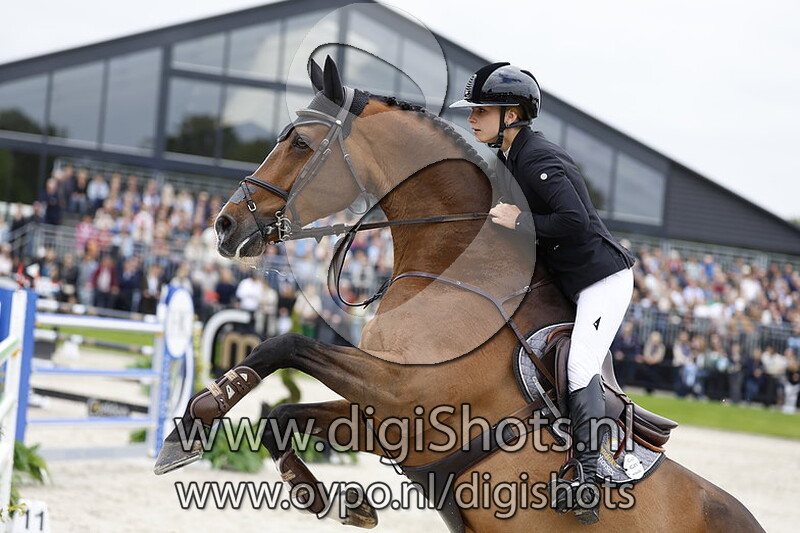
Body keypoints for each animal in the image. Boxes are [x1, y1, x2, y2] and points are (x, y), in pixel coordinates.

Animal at [155, 56, 764, 532]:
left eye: (300, 142)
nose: (225, 225)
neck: (451, 264)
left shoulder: (403, 395)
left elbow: (282, 345)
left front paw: (195, 420)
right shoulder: (384, 419)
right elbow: (282, 414)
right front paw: (331, 499)